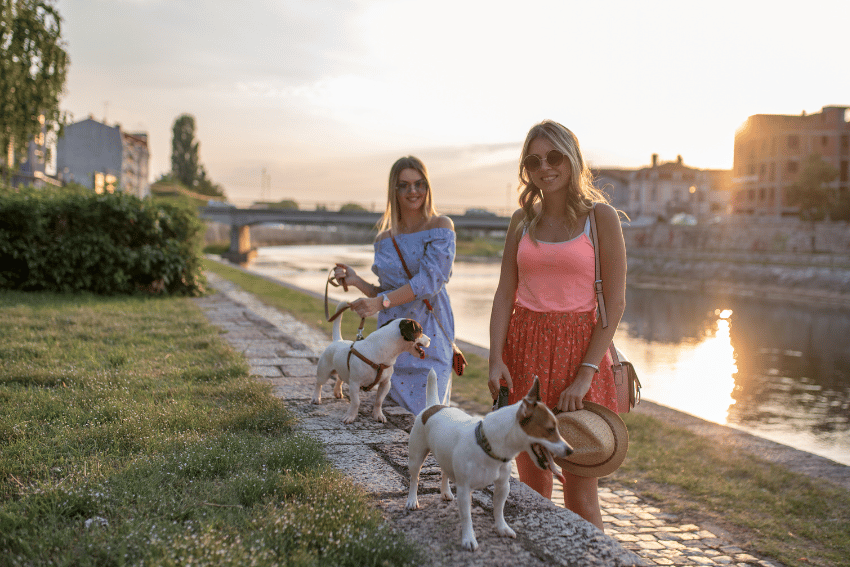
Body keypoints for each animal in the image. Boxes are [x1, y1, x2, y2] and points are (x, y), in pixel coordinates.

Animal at [404, 370, 568, 552]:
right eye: (550, 430)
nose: (570, 450)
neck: (488, 445)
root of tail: (433, 406)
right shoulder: (464, 489)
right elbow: (466, 516)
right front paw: (469, 538)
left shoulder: (503, 486)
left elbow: (499, 509)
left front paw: (502, 528)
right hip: (416, 457)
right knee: (414, 478)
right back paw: (412, 500)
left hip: (444, 455)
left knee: (444, 472)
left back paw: (445, 492)